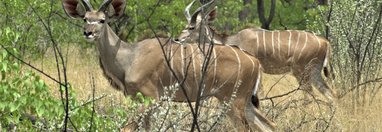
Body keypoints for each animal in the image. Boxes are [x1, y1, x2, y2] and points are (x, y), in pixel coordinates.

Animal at [62, 0, 274, 131]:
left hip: (233, 101)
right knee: (268, 125)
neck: (130, 57)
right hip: (243, 102)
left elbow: (126, 127)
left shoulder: (150, 99)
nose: (88, 32)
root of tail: (255, 62)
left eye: (102, 20)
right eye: (85, 18)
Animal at [178, 1, 336, 101]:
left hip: (301, 72)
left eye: (192, 27)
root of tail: (325, 42)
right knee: (330, 94)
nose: (178, 39)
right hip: (314, 72)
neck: (232, 40)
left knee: (310, 96)